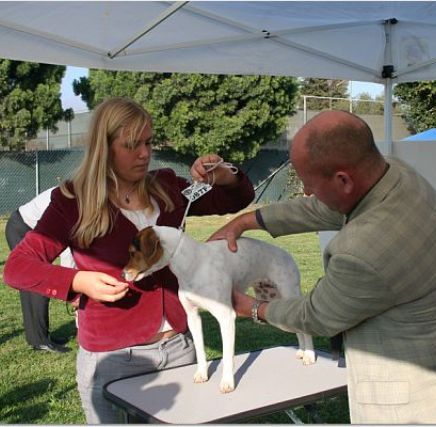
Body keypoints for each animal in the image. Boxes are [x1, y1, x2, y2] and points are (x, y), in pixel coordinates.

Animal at [121, 227, 316, 394]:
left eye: (132, 252)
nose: (122, 274)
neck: (193, 263)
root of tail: (286, 253)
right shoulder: (193, 317)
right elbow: (200, 351)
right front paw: (202, 374)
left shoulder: (226, 317)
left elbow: (228, 357)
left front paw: (227, 382)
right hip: (274, 303)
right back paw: (302, 351)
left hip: (288, 292)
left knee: (306, 329)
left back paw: (310, 355)